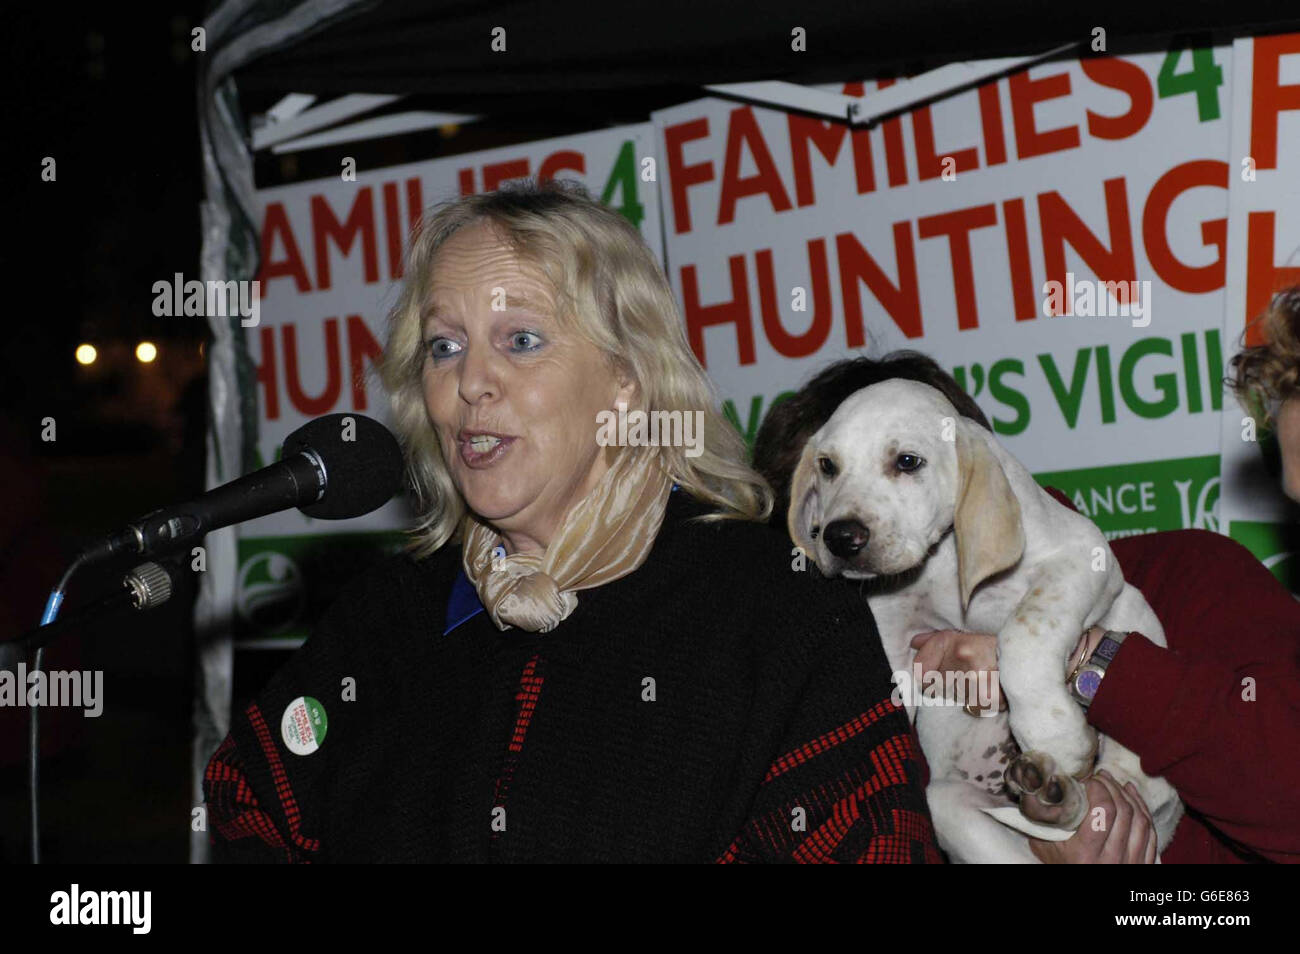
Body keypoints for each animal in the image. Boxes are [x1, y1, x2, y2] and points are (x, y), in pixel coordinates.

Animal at [785, 379, 1185, 868]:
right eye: (827, 466)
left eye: (907, 461)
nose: (840, 538)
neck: (942, 558)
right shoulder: (895, 636)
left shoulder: (1081, 557)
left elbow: (1023, 633)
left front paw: (1054, 735)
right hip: (952, 809)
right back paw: (1048, 794)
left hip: (1135, 617)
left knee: (1121, 779)